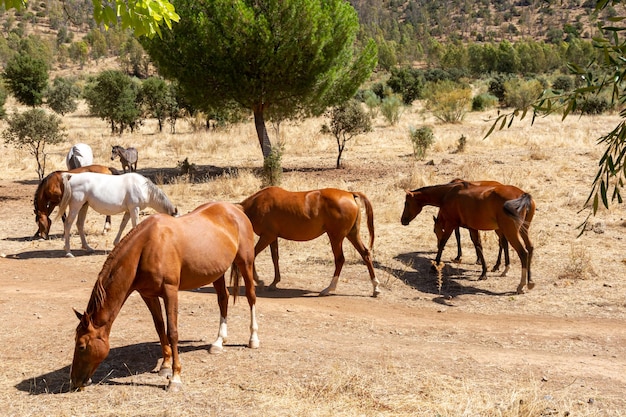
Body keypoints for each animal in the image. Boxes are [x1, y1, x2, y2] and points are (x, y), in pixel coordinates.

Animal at [70, 202, 258, 390]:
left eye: (81, 346)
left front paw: (175, 378)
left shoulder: (170, 291)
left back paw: (253, 339)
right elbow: (160, 328)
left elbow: (172, 331)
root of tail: (235, 208)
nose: (74, 381)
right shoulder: (148, 295)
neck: (146, 247)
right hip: (216, 272)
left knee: (251, 297)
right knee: (223, 299)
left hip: (245, 262)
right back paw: (218, 342)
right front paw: (165, 366)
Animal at [239, 185, 380, 296]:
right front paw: (274, 282)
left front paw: (258, 280)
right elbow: (275, 258)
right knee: (365, 254)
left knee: (340, 259)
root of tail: (350, 194)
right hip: (352, 234)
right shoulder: (273, 237)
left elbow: (253, 255)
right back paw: (375, 287)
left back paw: (329, 288)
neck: (258, 203)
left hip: (336, 237)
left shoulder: (267, 236)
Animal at [402, 180, 532, 294]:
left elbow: (444, 242)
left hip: (510, 231)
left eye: (406, 203)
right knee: (529, 248)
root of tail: (523, 195)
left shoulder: (451, 224)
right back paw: (529, 281)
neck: (448, 193)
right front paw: (483, 273)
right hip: (522, 230)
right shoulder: (472, 228)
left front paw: (435, 265)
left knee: (522, 252)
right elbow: (478, 246)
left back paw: (520, 285)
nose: (402, 220)